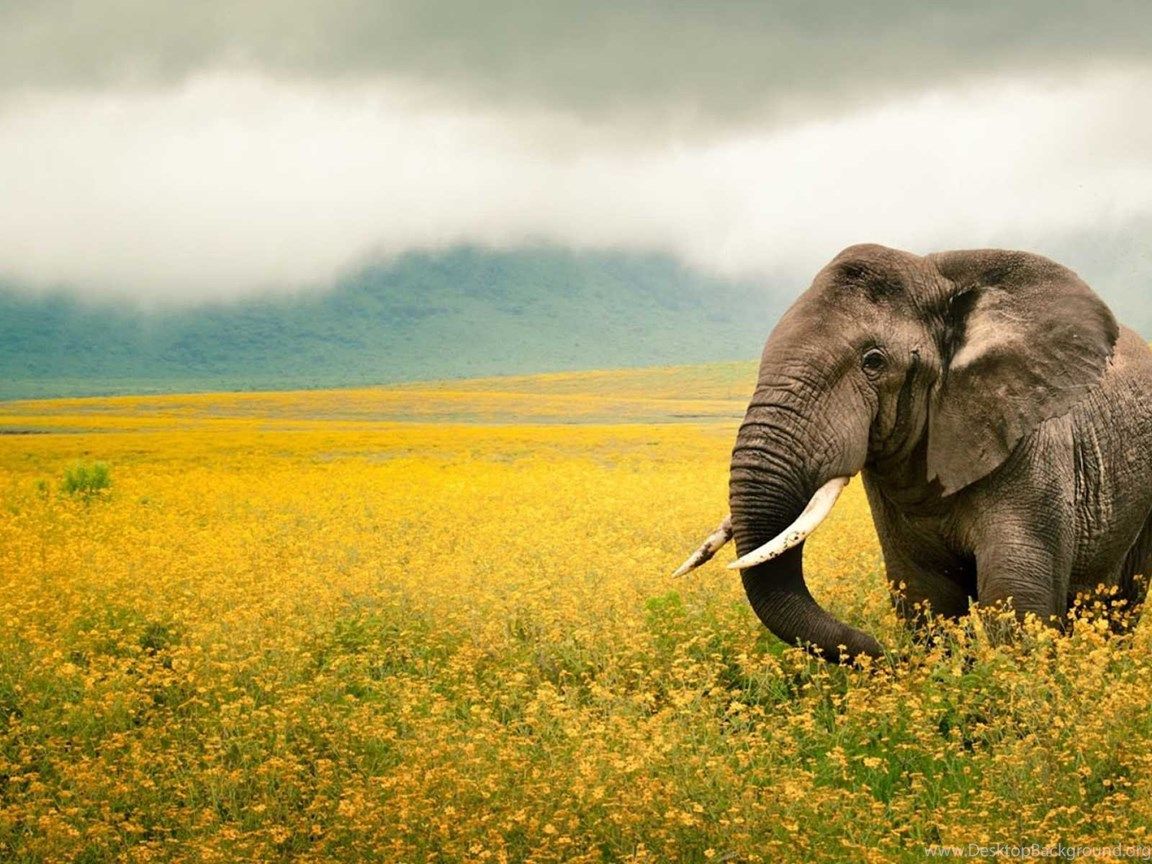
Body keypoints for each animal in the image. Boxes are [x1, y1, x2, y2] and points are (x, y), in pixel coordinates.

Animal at [675, 244, 1152, 662]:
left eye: (873, 362)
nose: (885, 655)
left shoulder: (1034, 445)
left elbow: (1015, 599)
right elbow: (928, 596)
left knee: (1120, 602)